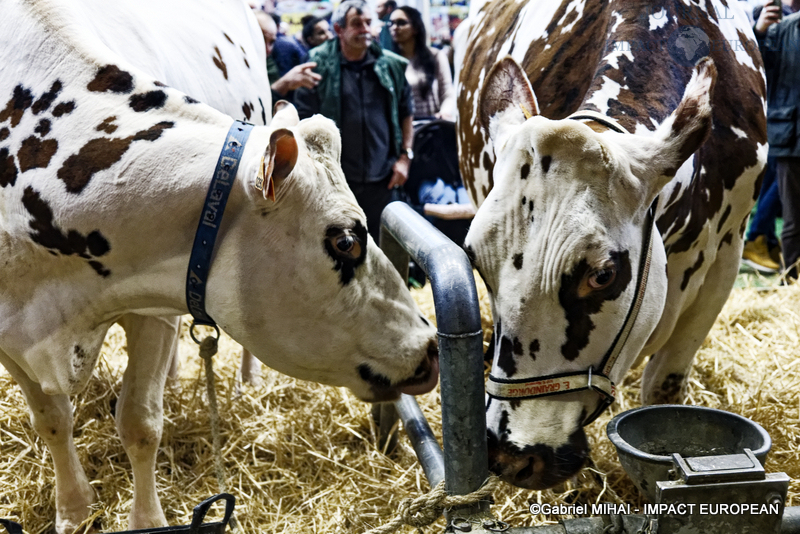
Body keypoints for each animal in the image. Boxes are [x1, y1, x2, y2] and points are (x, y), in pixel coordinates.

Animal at [0, 0, 438, 532]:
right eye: (346, 241)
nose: (431, 346)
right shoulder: (12, 328)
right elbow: (52, 421)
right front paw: (75, 511)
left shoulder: (155, 309)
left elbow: (139, 423)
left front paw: (146, 520)